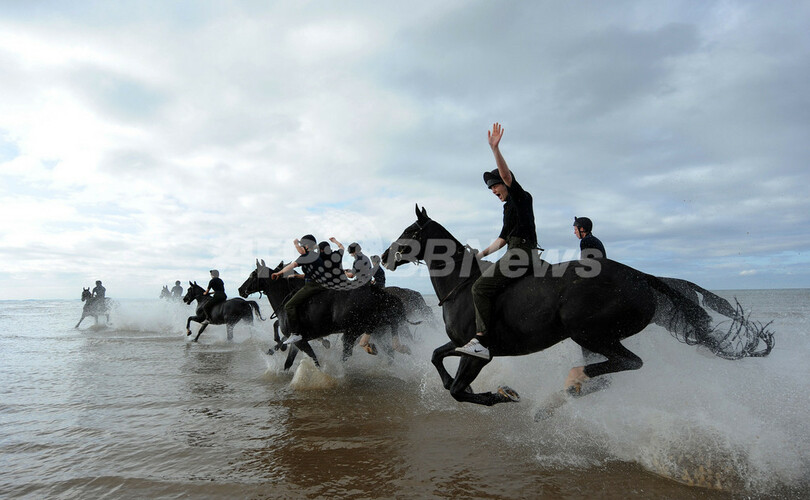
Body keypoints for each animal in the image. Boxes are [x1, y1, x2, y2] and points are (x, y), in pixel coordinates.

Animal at [238, 260, 416, 370]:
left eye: (253, 274)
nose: (240, 290)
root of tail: (377, 292)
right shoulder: (298, 342)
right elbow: (288, 363)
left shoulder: (300, 341)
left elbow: (314, 360)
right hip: (378, 331)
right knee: (389, 352)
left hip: (352, 332)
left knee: (348, 354)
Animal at [378, 207, 772, 406]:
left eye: (411, 231)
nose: (384, 256)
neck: (462, 284)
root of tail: (643, 277)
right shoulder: (463, 345)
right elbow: (438, 359)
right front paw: (471, 387)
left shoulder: (478, 352)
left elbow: (459, 391)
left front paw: (500, 394)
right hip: (592, 338)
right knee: (612, 372)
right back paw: (570, 391)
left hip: (589, 332)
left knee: (629, 363)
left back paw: (572, 382)